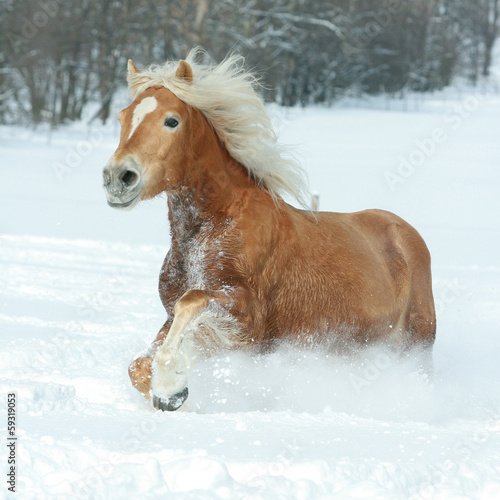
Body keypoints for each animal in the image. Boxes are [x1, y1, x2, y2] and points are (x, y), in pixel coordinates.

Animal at [101, 48, 434, 412]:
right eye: (122, 117)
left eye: (171, 120)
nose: (118, 177)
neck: (214, 226)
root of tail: (406, 233)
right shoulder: (176, 318)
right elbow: (138, 367)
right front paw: (174, 394)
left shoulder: (246, 325)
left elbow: (191, 304)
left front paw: (170, 387)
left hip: (416, 347)